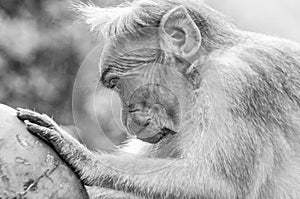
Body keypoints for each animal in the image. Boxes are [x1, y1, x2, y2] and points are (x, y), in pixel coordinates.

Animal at [17, 0, 300, 198]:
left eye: (115, 83)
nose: (127, 118)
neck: (201, 71)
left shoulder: (236, 85)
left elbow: (221, 185)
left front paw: (83, 157)